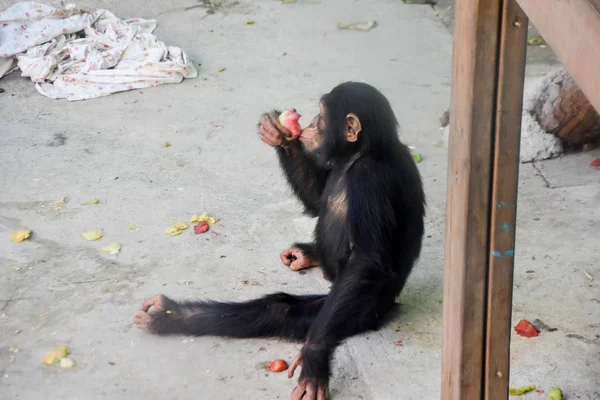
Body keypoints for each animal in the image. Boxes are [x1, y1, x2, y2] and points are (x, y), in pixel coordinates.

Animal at [136, 82, 426, 400]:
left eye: (322, 116)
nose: (310, 122)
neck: (359, 153)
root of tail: (391, 304)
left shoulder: (370, 180)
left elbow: (367, 260)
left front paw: (313, 358)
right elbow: (317, 199)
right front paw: (276, 133)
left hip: (360, 310)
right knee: (275, 308)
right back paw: (169, 314)